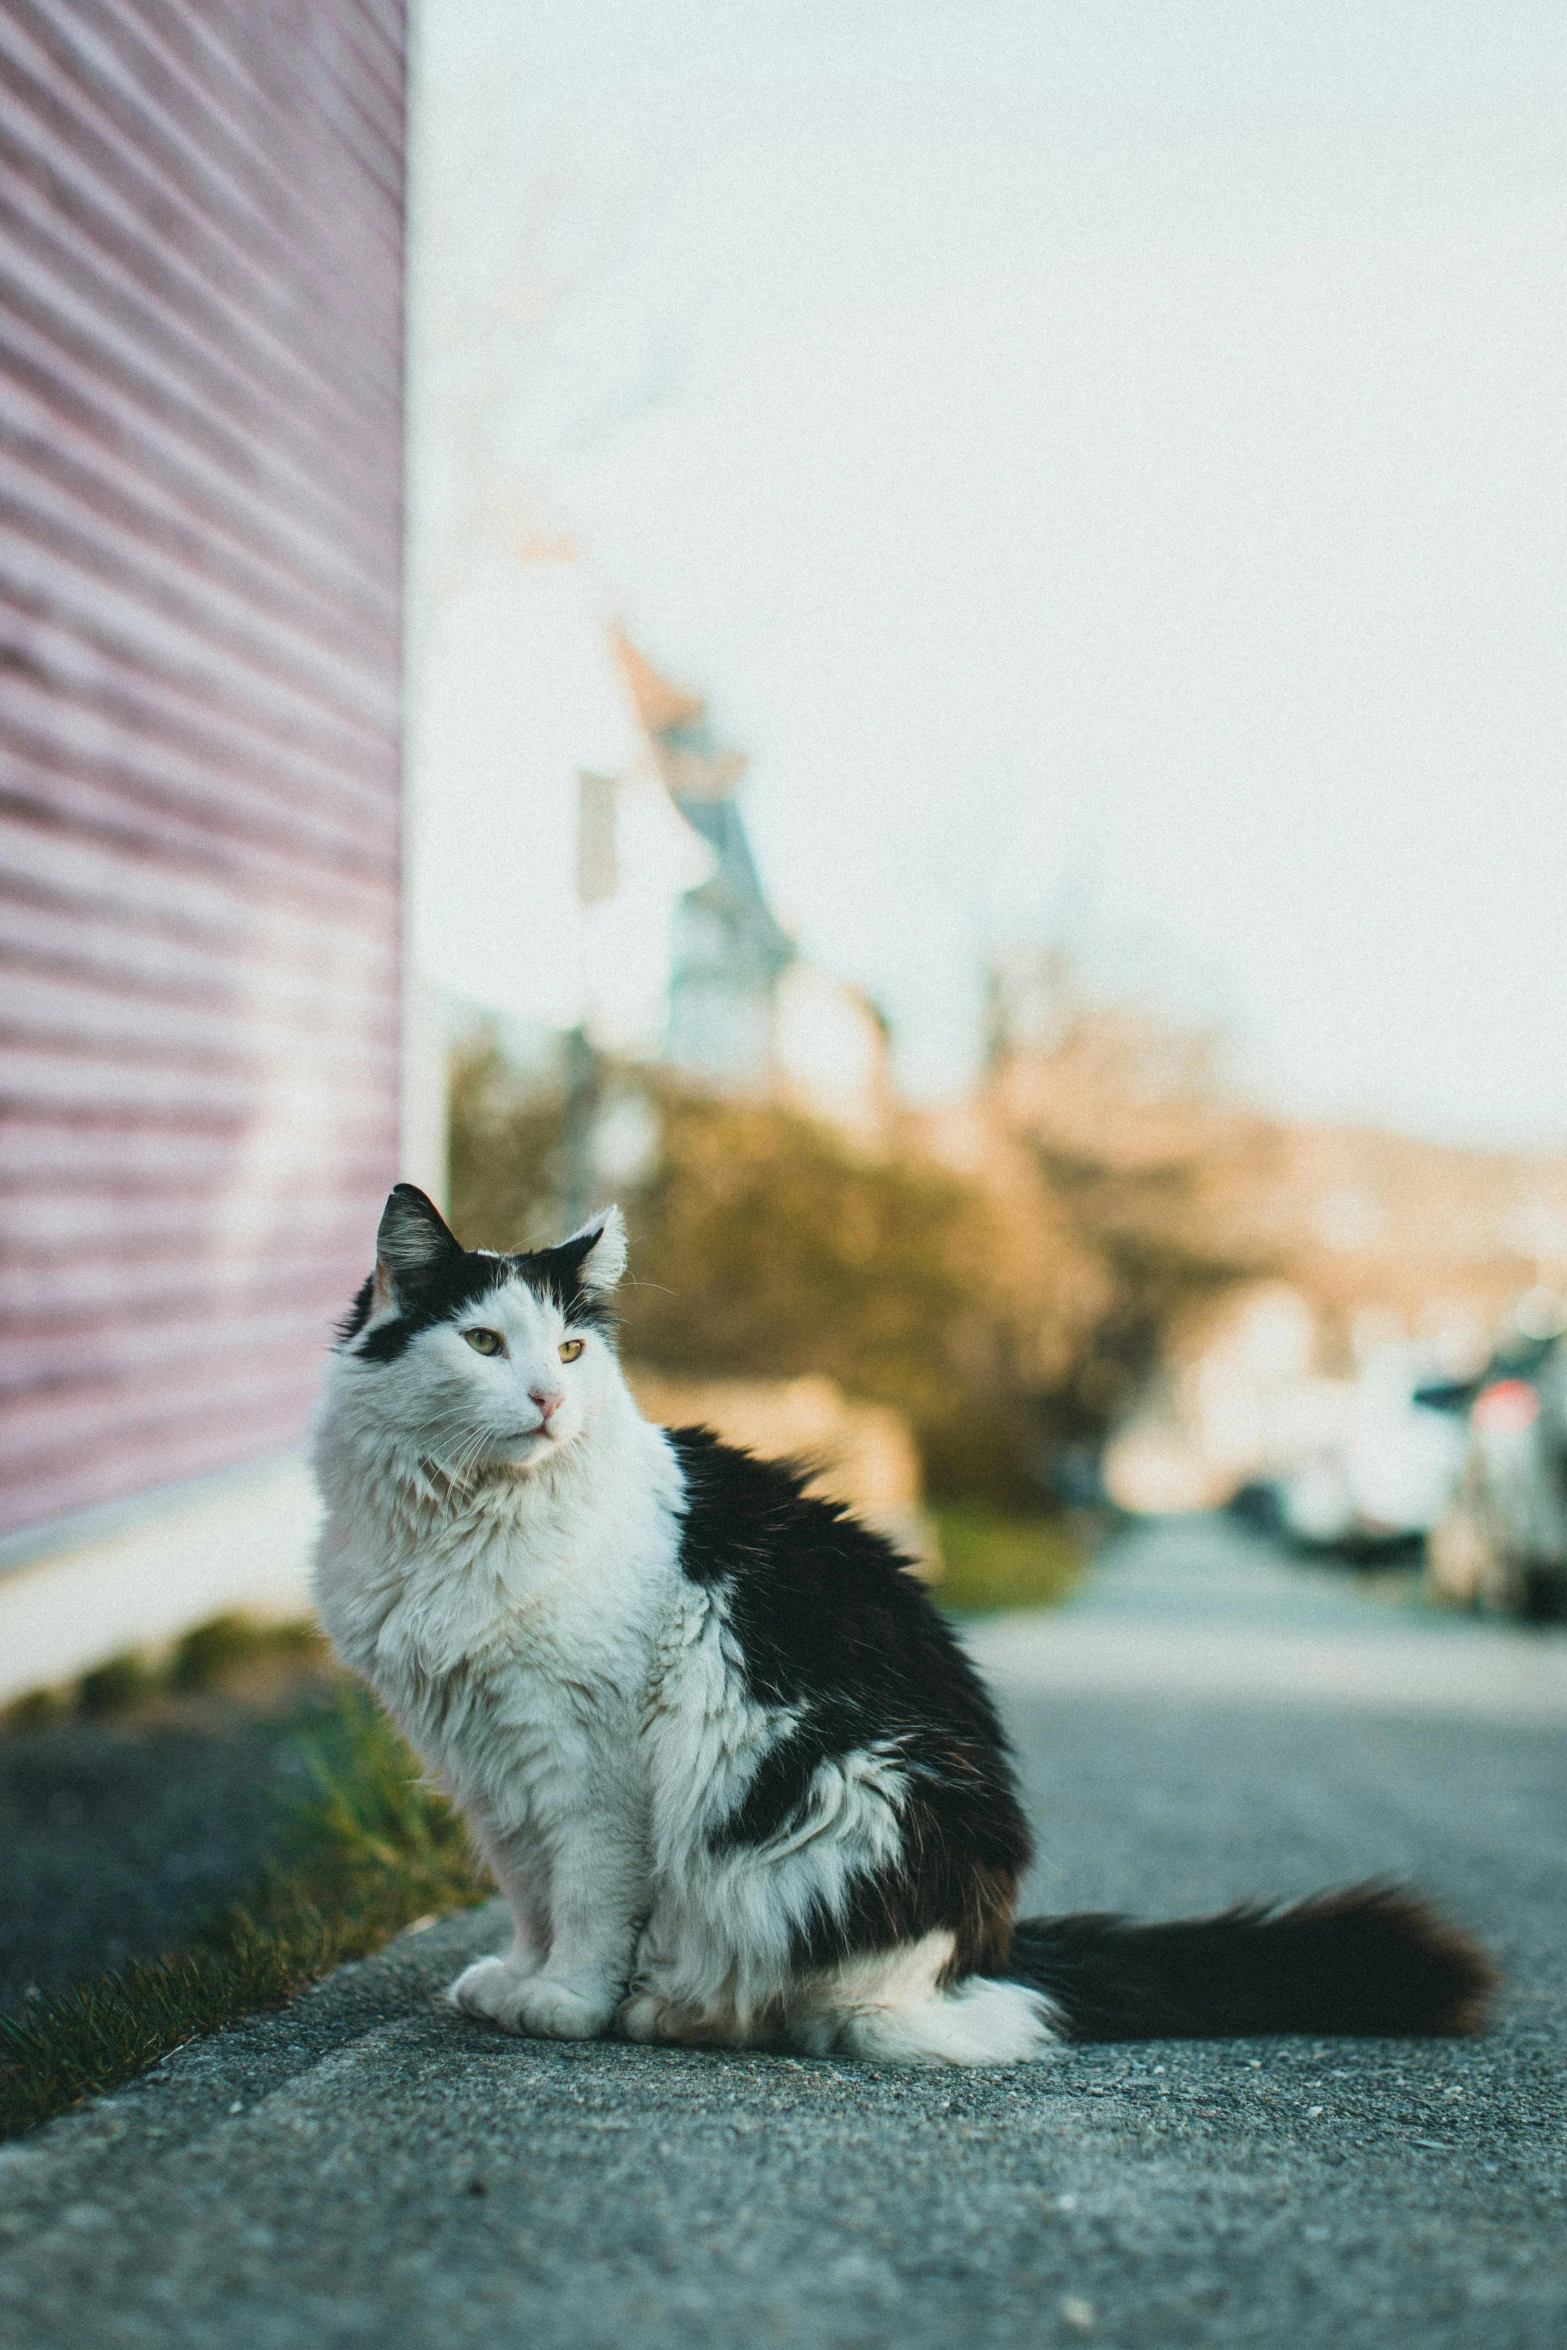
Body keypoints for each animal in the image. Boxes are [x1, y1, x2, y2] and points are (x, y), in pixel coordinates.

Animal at [310, 1184, 1494, 2068]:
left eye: (567, 1353)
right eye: (481, 1341)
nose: (549, 1405)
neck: (464, 1521)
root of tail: (986, 1949)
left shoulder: (586, 1759)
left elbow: (589, 1898)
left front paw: (564, 2002)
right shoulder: (487, 1762)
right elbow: (528, 1891)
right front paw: (517, 1974)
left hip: (831, 1800)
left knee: (833, 2010)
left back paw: (670, 2009)